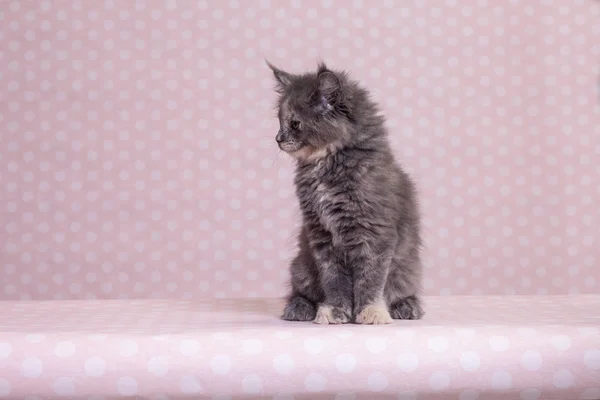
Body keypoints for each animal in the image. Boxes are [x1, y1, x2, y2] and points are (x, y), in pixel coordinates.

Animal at [270, 61, 424, 324]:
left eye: (295, 124)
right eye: (280, 122)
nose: (278, 138)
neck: (325, 164)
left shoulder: (375, 234)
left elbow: (370, 280)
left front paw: (371, 312)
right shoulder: (322, 236)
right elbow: (334, 281)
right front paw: (335, 311)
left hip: (407, 266)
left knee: (403, 289)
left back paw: (406, 307)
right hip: (302, 267)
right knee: (300, 291)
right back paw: (299, 308)